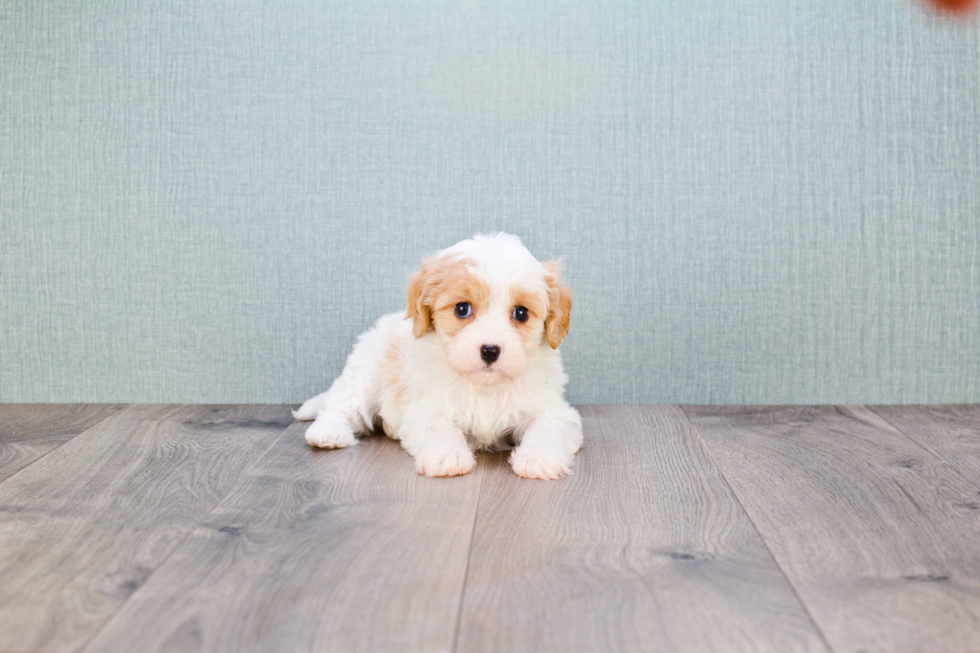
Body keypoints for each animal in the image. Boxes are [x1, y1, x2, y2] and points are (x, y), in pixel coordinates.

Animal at [292, 234, 580, 478]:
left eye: (521, 313)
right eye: (462, 309)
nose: (490, 350)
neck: (484, 387)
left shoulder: (552, 409)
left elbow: (548, 427)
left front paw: (539, 458)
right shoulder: (428, 407)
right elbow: (438, 428)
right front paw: (447, 456)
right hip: (366, 367)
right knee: (344, 402)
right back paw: (328, 432)